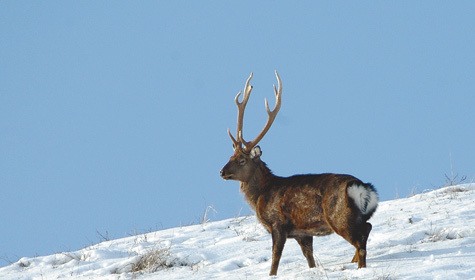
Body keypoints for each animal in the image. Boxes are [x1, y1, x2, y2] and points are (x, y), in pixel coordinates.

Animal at [219, 70, 380, 276]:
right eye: (230, 156)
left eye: (242, 160)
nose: (222, 172)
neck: (261, 194)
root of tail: (362, 187)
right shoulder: (303, 233)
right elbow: (309, 259)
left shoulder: (278, 224)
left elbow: (275, 258)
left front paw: (272, 275)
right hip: (360, 214)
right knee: (367, 228)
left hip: (340, 216)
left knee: (361, 238)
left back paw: (360, 267)